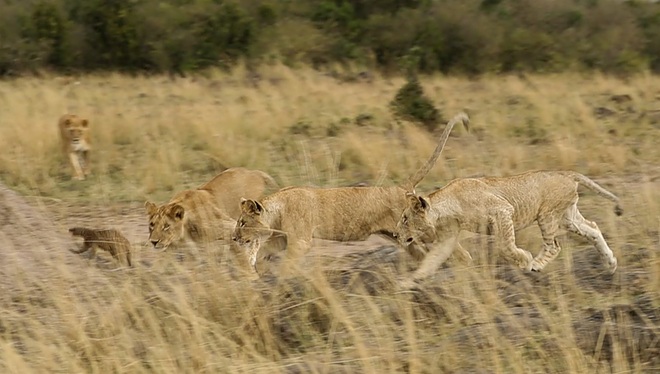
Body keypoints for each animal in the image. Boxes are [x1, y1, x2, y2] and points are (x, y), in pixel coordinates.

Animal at [232, 112, 470, 276]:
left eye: (242, 222)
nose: (233, 238)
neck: (277, 209)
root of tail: (402, 187)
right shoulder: (282, 239)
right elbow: (265, 251)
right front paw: (256, 271)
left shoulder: (300, 241)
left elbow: (287, 265)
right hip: (401, 237)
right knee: (421, 254)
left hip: (420, 231)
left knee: (455, 247)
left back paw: (463, 265)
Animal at [394, 171, 620, 288]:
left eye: (405, 219)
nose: (395, 234)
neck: (447, 205)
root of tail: (567, 173)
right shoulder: (447, 238)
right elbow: (431, 261)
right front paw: (408, 283)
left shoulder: (503, 210)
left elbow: (505, 246)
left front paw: (525, 260)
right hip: (566, 217)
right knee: (593, 229)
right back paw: (610, 263)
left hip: (547, 215)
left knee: (554, 245)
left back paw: (536, 265)